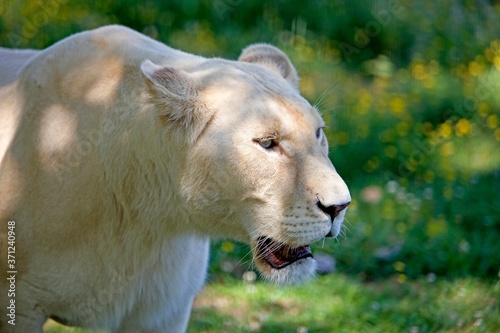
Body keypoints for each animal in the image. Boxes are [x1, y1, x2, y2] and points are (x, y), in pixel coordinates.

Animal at [0, 24, 350, 330]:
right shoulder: (21, 309)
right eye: (267, 143)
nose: (340, 207)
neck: (145, 219)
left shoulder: (163, 313)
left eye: (318, 133)